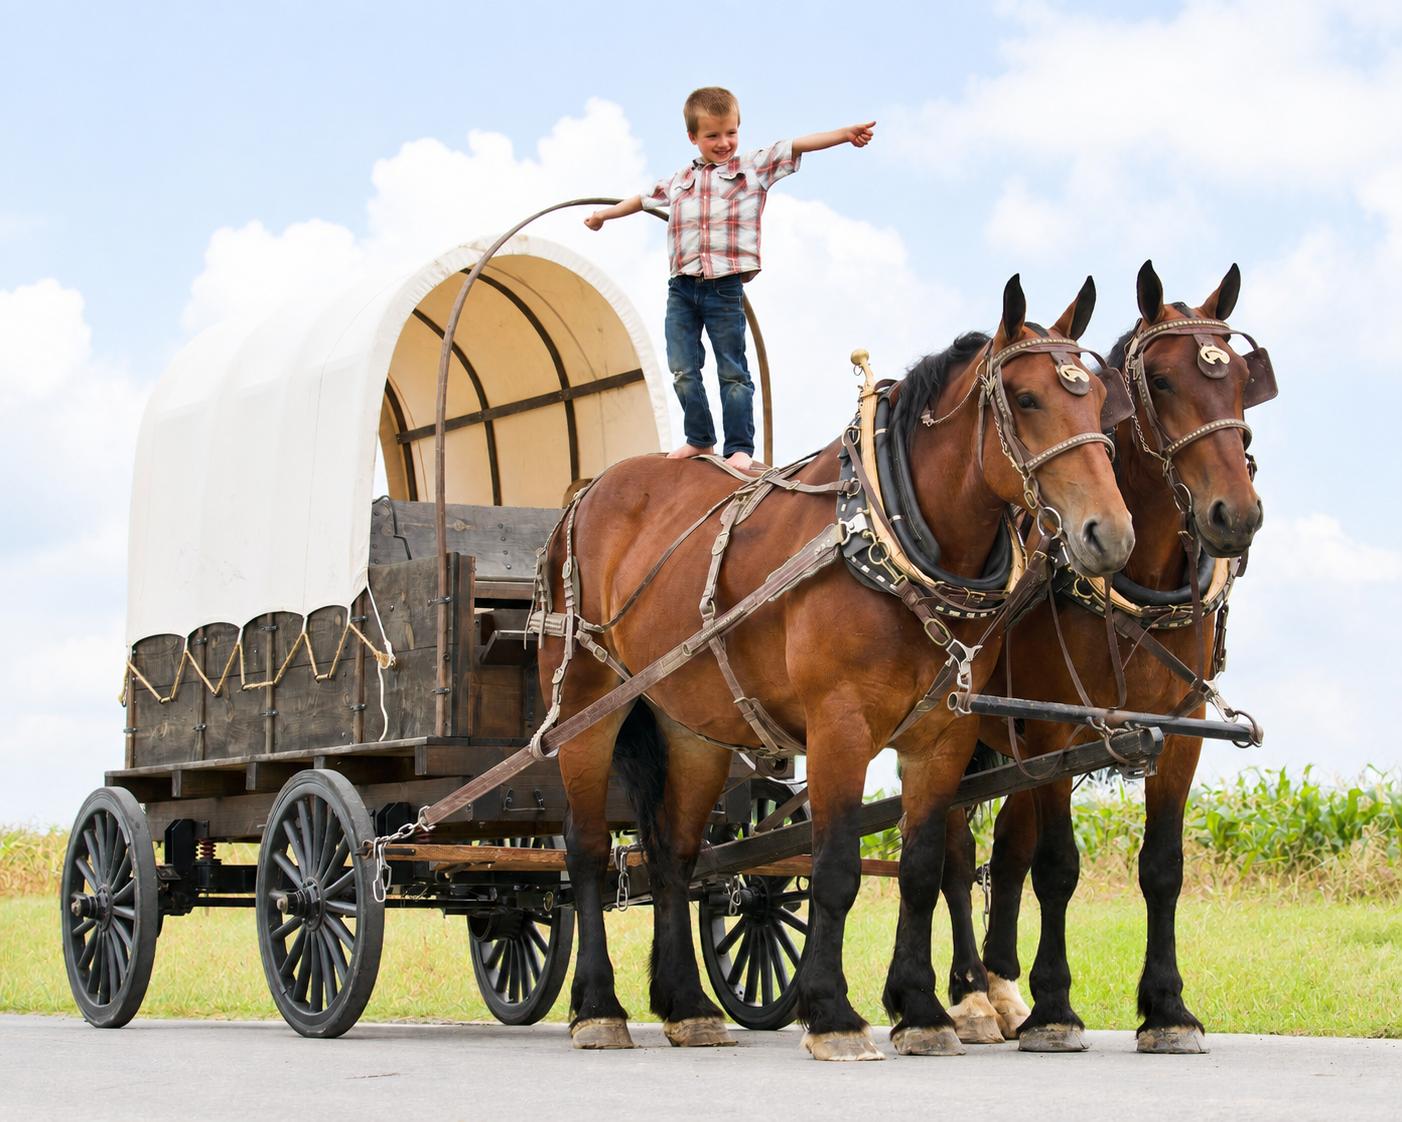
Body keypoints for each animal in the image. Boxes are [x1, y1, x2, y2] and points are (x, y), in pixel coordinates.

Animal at [535, 274, 1136, 1059]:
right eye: (1029, 399)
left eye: (1096, 403)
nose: (1111, 533)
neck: (889, 538)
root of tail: (587, 492)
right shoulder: (838, 726)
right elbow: (836, 866)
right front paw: (832, 1012)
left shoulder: (940, 738)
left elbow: (918, 869)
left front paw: (922, 1010)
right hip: (585, 702)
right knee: (585, 850)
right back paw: (598, 1007)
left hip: (691, 725)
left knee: (674, 855)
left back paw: (688, 1006)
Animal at [937, 261, 1269, 1054]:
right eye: (1164, 380)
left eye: (1242, 379)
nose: (1236, 514)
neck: (1135, 577)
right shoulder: (1057, 726)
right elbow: (1058, 867)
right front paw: (1056, 1008)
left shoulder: (1178, 732)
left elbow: (1162, 868)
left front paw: (1168, 1008)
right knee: (955, 853)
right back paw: (970, 996)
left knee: (1006, 847)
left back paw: (1001, 986)